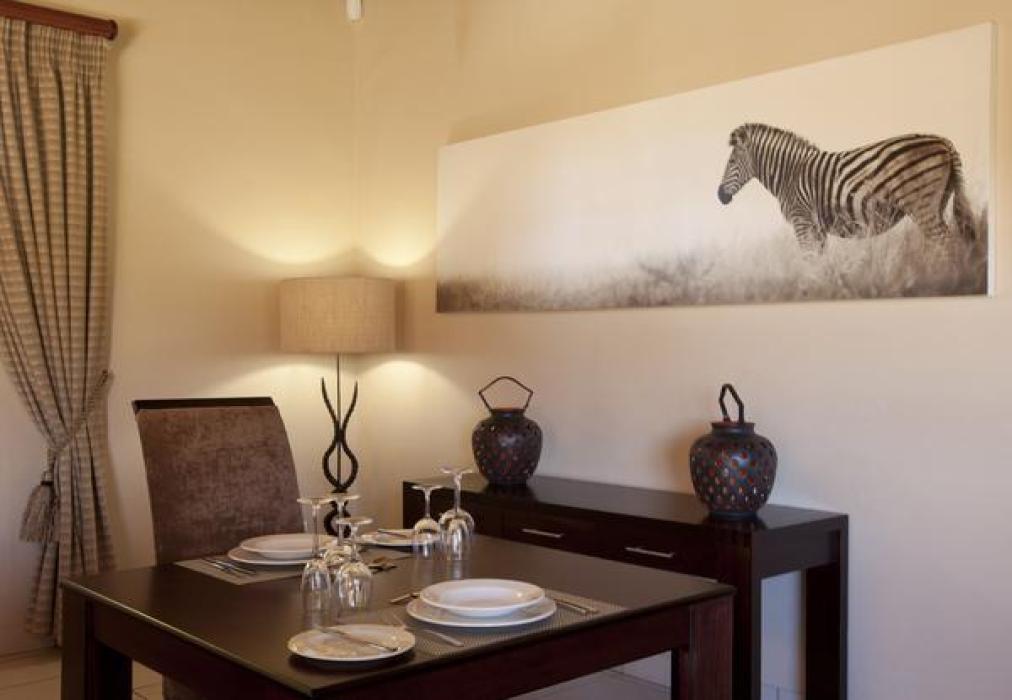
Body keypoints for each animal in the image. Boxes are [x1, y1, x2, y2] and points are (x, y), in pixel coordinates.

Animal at [716, 123, 976, 254]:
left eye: (731, 162)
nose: (720, 196)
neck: (790, 174)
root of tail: (943, 141)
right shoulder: (817, 228)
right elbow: (820, 263)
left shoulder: (802, 221)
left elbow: (809, 261)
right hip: (938, 202)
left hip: (921, 203)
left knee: (942, 240)